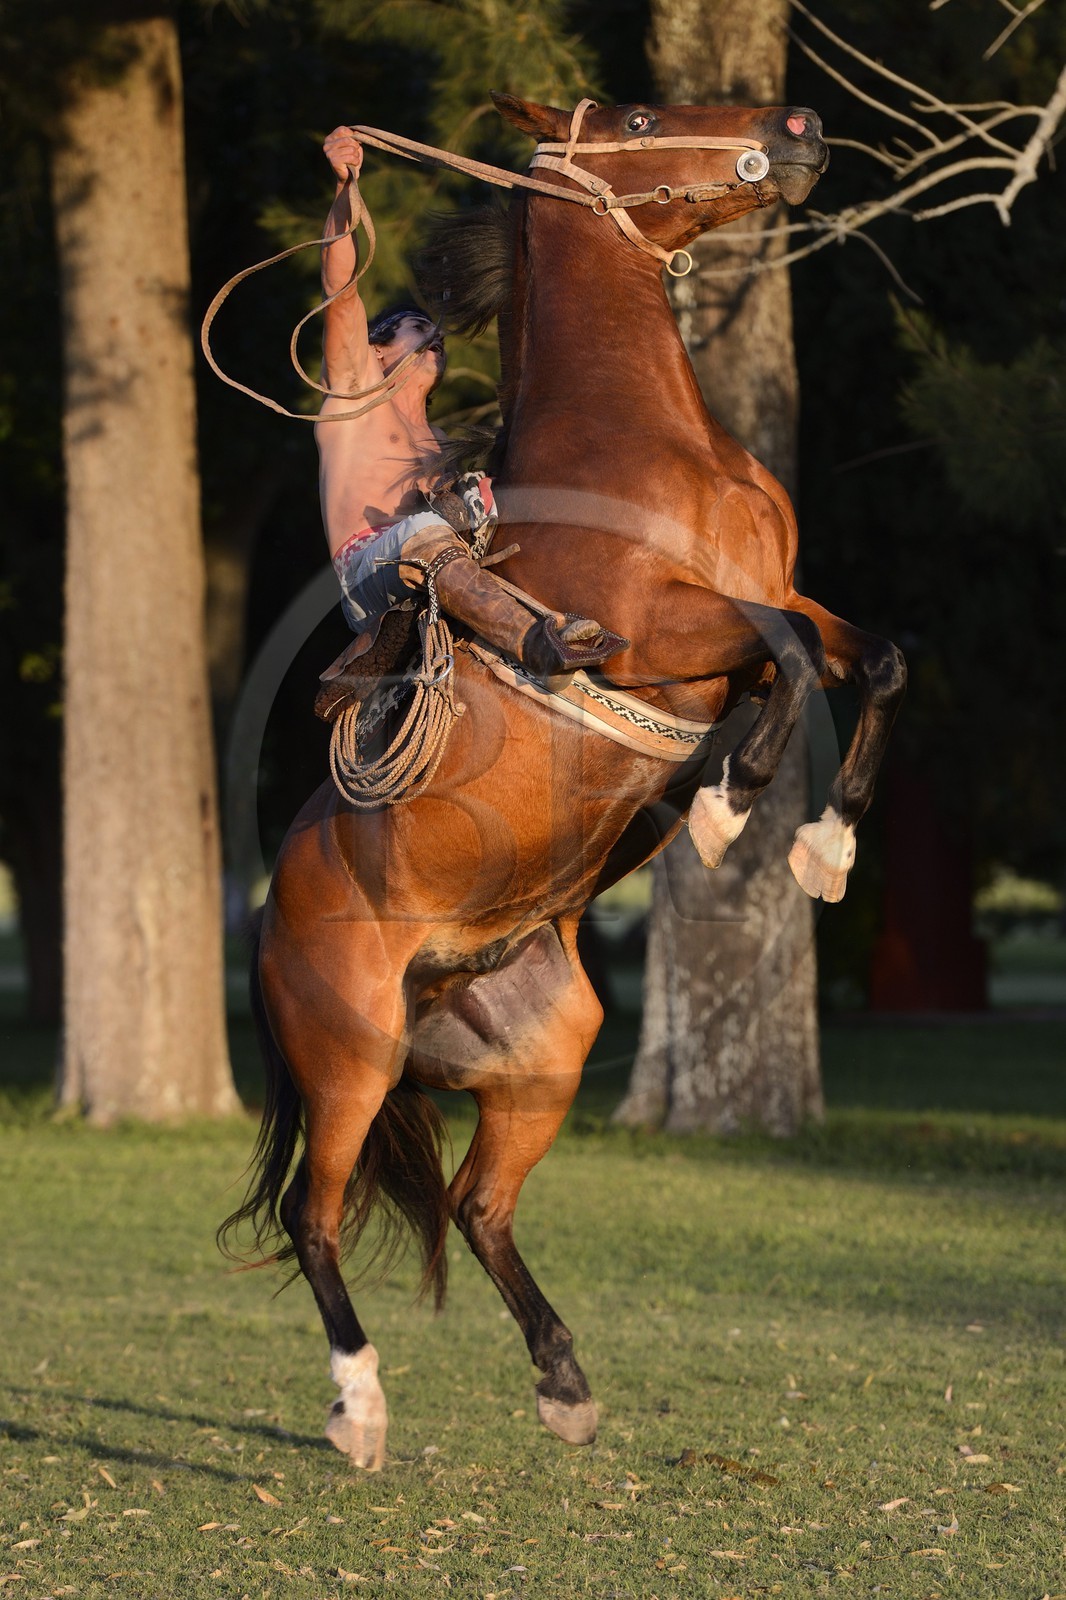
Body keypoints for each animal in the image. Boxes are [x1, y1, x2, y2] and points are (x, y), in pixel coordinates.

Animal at [223, 93, 906, 1471]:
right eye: (639, 115)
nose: (796, 123)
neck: (649, 447)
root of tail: (272, 917)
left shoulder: (776, 596)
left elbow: (867, 655)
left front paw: (822, 844)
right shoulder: (663, 627)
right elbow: (783, 653)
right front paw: (730, 802)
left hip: (541, 1053)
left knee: (478, 1205)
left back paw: (563, 1379)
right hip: (350, 1056)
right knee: (316, 1218)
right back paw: (361, 1407)